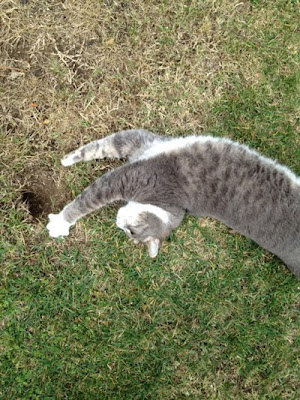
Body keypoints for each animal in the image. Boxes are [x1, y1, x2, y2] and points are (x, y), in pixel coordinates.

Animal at [46, 130, 300, 280]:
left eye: (132, 233)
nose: (118, 223)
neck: (168, 204)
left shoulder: (135, 177)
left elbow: (89, 198)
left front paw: (60, 223)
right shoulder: (145, 144)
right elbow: (107, 145)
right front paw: (69, 159)